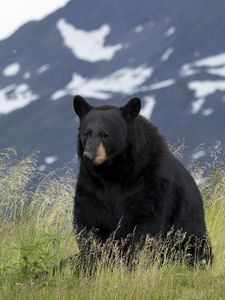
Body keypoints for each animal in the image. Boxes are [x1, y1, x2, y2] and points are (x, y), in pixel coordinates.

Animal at [72, 95, 213, 268]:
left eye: (105, 134)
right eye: (86, 133)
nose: (89, 155)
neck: (112, 172)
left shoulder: (150, 182)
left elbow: (146, 226)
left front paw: (132, 264)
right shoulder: (91, 185)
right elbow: (88, 220)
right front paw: (93, 262)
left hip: (192, 237)